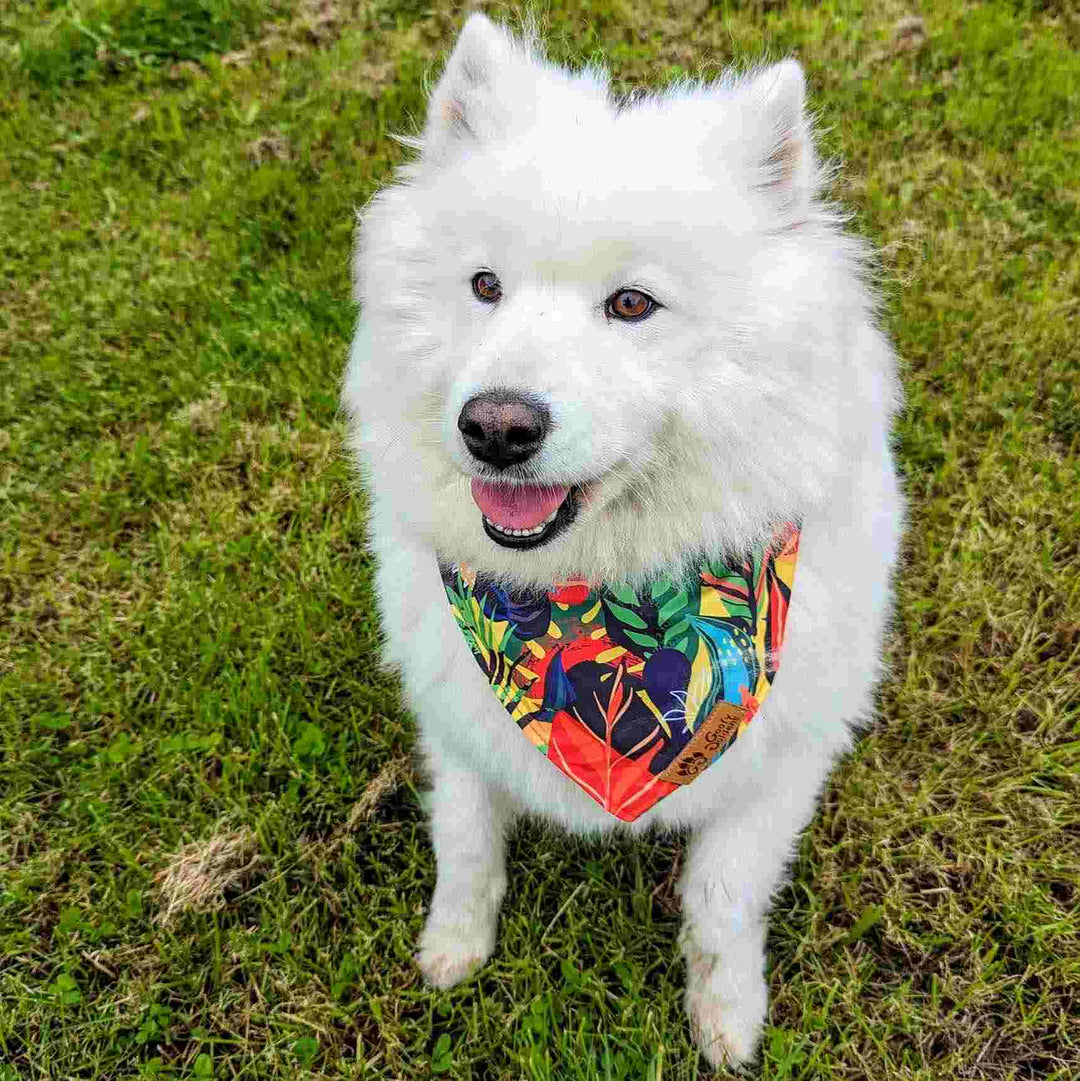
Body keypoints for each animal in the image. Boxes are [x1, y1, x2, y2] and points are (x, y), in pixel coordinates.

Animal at [341, 12, 899, 1068]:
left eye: (633, 303)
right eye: (484, 285)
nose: (497, 425)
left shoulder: (779, 759)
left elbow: (723, 899)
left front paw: (726, 1019)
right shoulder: (456, 719)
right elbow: (464, 840)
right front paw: (453, 947)